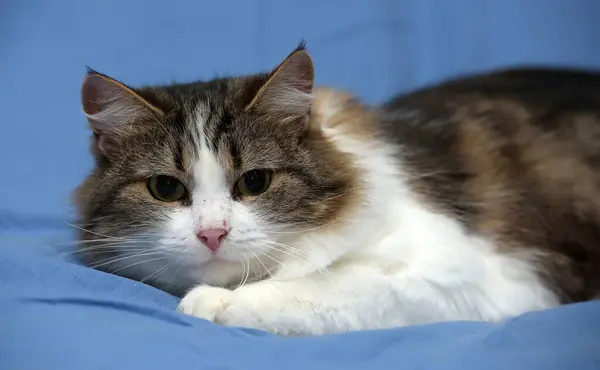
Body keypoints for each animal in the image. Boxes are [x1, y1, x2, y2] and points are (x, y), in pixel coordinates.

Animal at [76, 42, 600, 336]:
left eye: (254, 182)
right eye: (166, 188)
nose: (212, 233)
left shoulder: (467, 272)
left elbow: (328, 287)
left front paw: (219, 301)